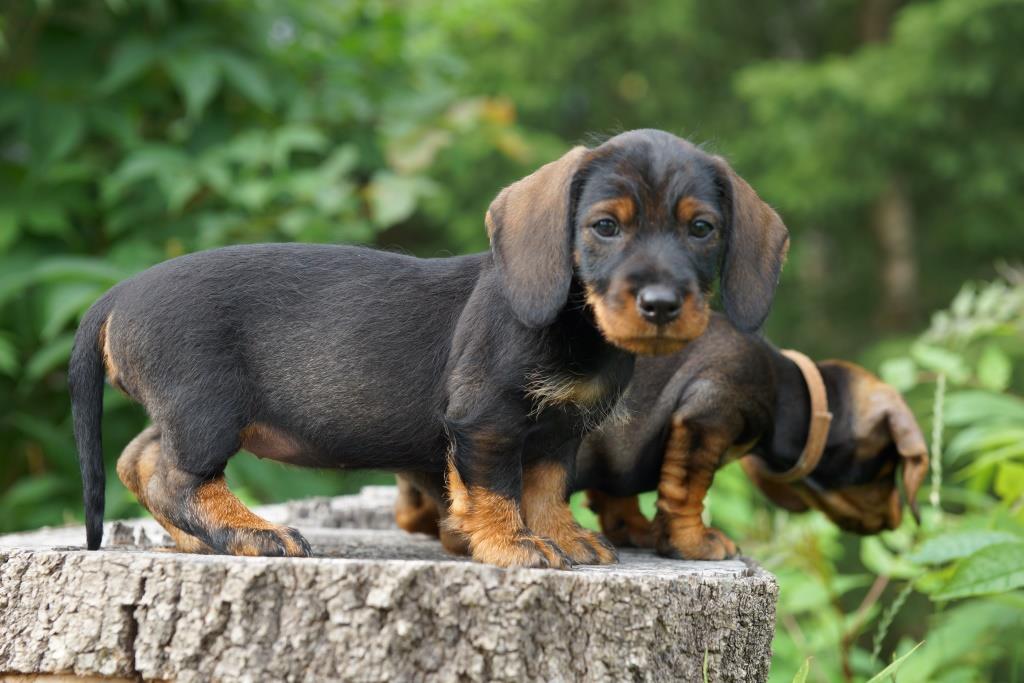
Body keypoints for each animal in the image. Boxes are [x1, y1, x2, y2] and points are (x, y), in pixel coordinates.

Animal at [69, 129, 789, 569]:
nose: (661, 305)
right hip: (208, 406)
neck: (574, 328)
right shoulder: (486, 419)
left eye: (702, 228)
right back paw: (250, 531)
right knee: (177, 476)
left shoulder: (561, 429)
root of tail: (117, 293)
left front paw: (564, 538)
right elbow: (496, 488)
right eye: (605, 226)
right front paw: (513, 545)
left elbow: (547, 487)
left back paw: (195, 539)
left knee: (142, 459)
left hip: (192, 412)